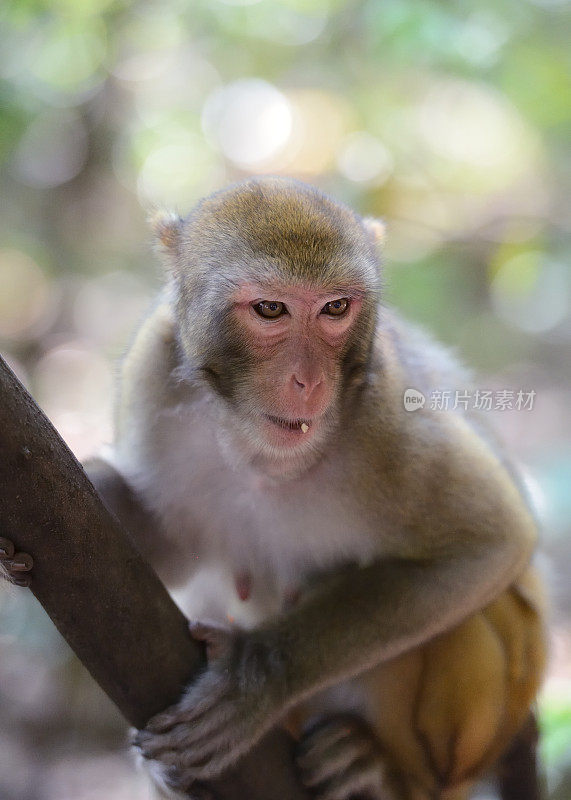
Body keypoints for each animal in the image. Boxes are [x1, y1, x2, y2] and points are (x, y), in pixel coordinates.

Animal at [2, 177, 548, 800]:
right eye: (270, 309)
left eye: (336, 308)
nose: (306, 381)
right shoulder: (154, 368)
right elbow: (154, 544)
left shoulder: (387, 419)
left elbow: (491, 543)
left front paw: (257, 676)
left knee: (473, 618)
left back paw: (382, 769)